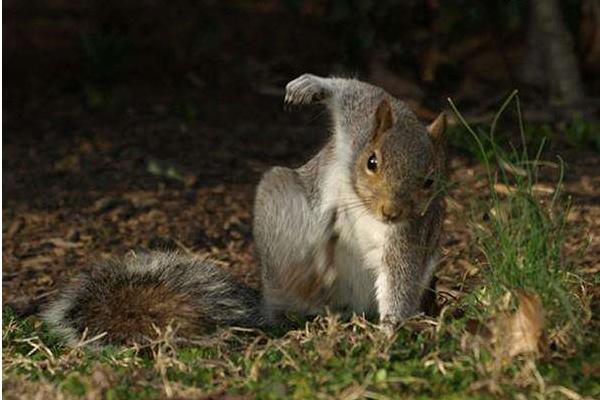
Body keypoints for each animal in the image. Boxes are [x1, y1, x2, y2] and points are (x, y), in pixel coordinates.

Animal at [42, 73, 446, 346]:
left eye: (430, 180)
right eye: (372, 162)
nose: (391, 211)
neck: (363, 203)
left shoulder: (410, 233)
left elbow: (400, 276)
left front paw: (391, 330)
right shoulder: (359, 119)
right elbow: (352, 90)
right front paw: (309, 86)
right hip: (278, 201)